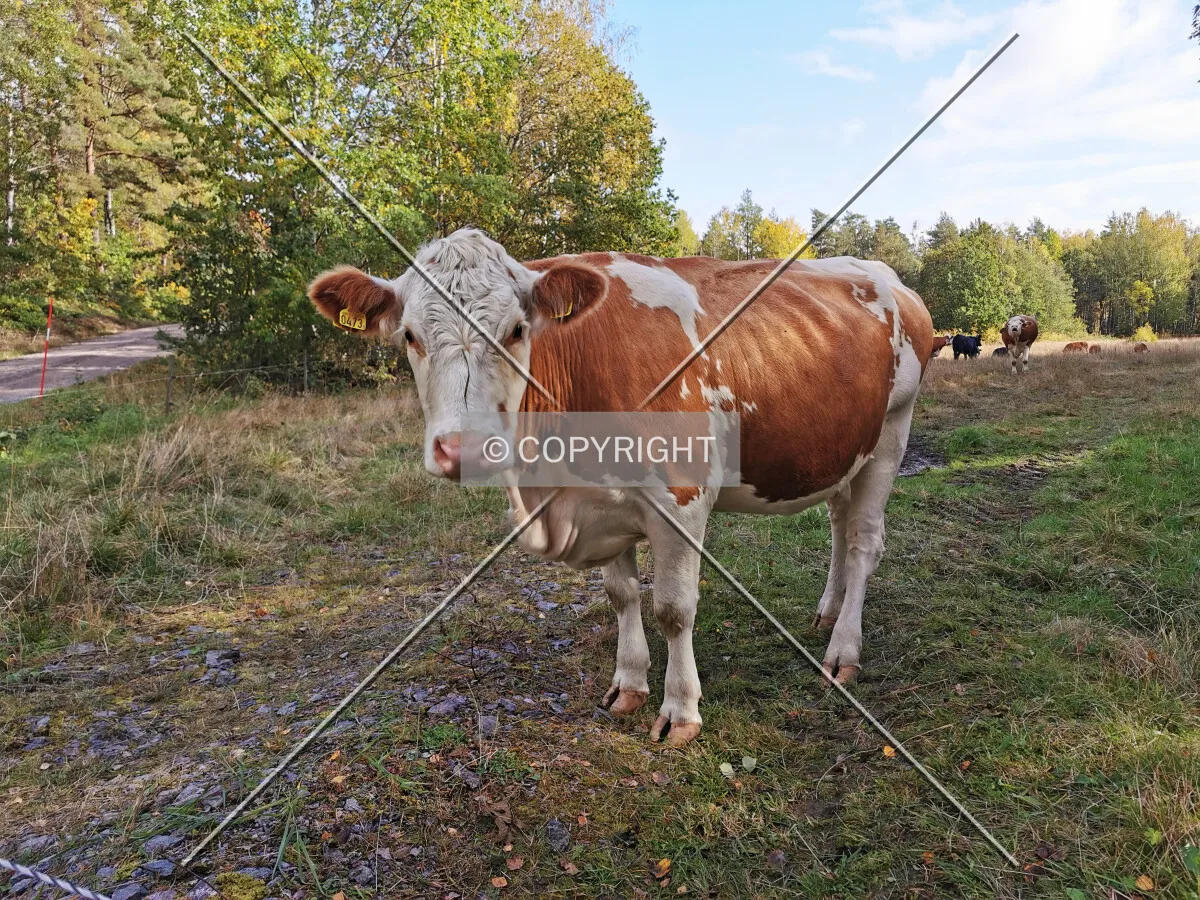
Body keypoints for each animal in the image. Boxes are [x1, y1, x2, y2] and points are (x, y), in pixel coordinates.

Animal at [307, 228, 933, 746]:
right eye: (410, 336)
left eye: (516, 330)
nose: (465, 447)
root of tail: (887, 275)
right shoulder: (601, 501)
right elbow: (622, 595)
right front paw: (628, 684)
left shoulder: (681, 498)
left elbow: (673, 609)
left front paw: (680, 711)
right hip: (844, 448)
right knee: (839, 523)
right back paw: (827, 610)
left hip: (891, 434)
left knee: (865, 542)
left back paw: (843, 649)